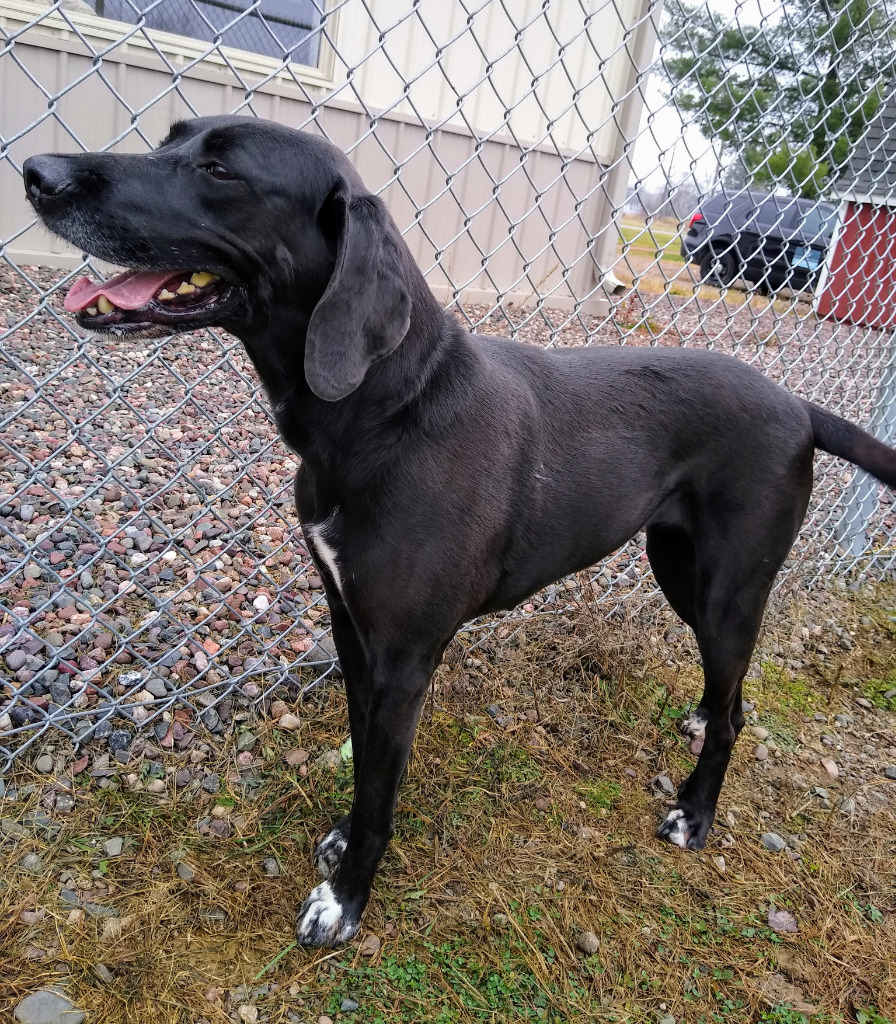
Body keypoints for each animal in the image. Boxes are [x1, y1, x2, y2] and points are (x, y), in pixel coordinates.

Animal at [24, 117, 896, 942]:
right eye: (170, 139)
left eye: (219, 169)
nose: (37, 171)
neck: (382, 411)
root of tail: (798, 406)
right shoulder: (351, 630)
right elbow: (362, 759)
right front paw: (342, 839)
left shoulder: (405, 658)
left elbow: (381, 787)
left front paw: (344, 901)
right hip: (676, 568)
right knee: (729, 693)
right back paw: (700, 720)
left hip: (725, 589)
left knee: (737, 711)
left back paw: (696, 813)